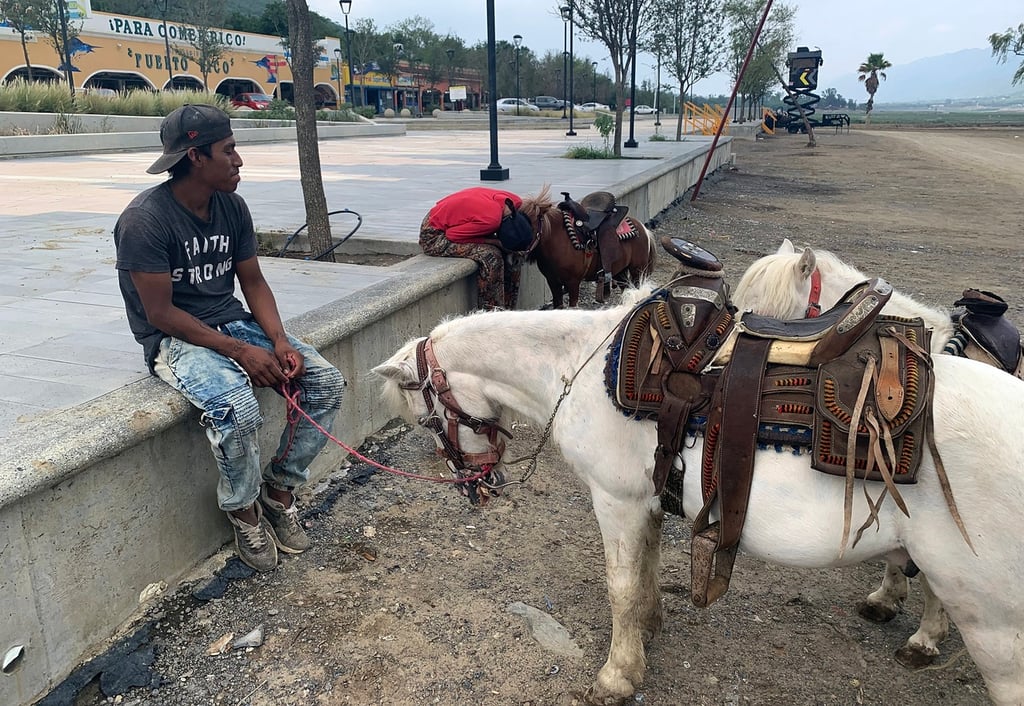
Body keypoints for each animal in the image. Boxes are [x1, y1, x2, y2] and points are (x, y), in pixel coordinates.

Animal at [378, 291, 1024, 700]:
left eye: (426, 418)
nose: (476, 487)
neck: (577, 367)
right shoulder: (646, 503)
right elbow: (645, 571)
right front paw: (649, 629)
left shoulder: (614, 501)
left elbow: (620, 586)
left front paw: (617, 675)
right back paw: (922, 638)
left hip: (993, 620)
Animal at [520, 185, 655, 307]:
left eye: (531, 225)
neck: (557, 238)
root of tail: (643, 228)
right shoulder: (553, 281)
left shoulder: (573, 282)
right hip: (620, 271)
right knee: (627, 291)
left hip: (637, 270)